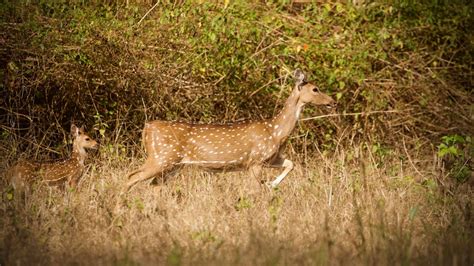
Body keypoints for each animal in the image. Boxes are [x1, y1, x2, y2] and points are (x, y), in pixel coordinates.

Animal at [126, 69, 334, 192]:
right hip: (161, 156)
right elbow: (256, 189)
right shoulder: (255, 161)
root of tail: (147, 128)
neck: (276, 132)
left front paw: (272, 184)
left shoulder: (270, 158)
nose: (332, 102)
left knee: (153, 184)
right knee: (131, 176)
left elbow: (292, 164)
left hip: (173, 164)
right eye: (315, 89)